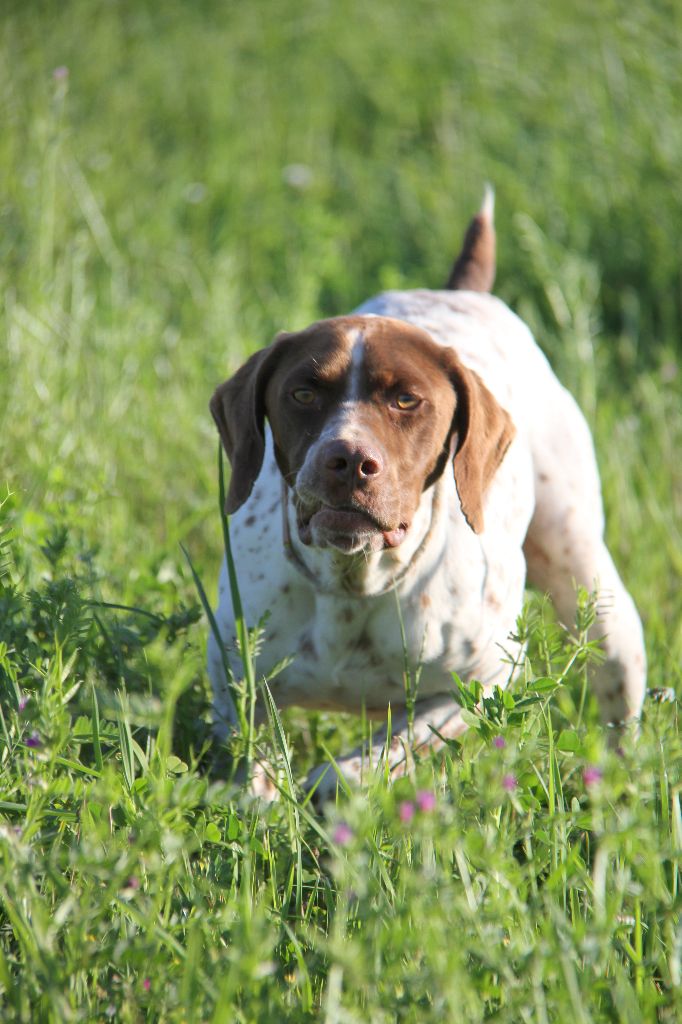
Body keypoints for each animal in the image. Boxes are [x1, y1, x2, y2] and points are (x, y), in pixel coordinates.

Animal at [209, 192, 647, 798]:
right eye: (303, 393)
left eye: (406, 400)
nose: (349, 460)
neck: (354, 587)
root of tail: (463, 291)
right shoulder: (234, 677)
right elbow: (252, 766)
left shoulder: (490, 679)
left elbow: (388, 748)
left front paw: (338, 775)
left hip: (589, 584)